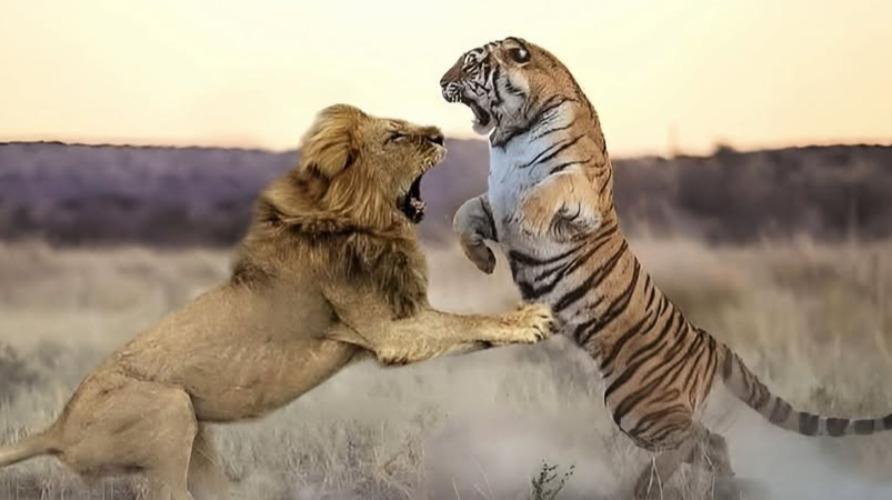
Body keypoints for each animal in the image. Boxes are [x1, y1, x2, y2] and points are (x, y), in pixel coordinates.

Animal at [0, 104, 554, 500]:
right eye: (395, 135)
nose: (440, 136)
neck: (360, 219)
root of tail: (57, 427)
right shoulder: (388, 331)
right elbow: (463, 322)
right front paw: (528, 320)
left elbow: (462, 330)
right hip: (169, 410)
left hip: (197, 435)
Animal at [440, 36, 892, 499]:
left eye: (471, 64)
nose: (441, 82)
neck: (512, 133)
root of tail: (712, 343)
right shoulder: (491, 201)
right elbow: (463, 214)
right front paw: (483, 258)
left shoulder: (580, 194)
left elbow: (542, 195)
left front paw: (522, 228)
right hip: (644, 412)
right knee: (712, 443)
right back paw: (714, 487)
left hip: (638, 405)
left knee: (697, 439)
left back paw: (646, 488)